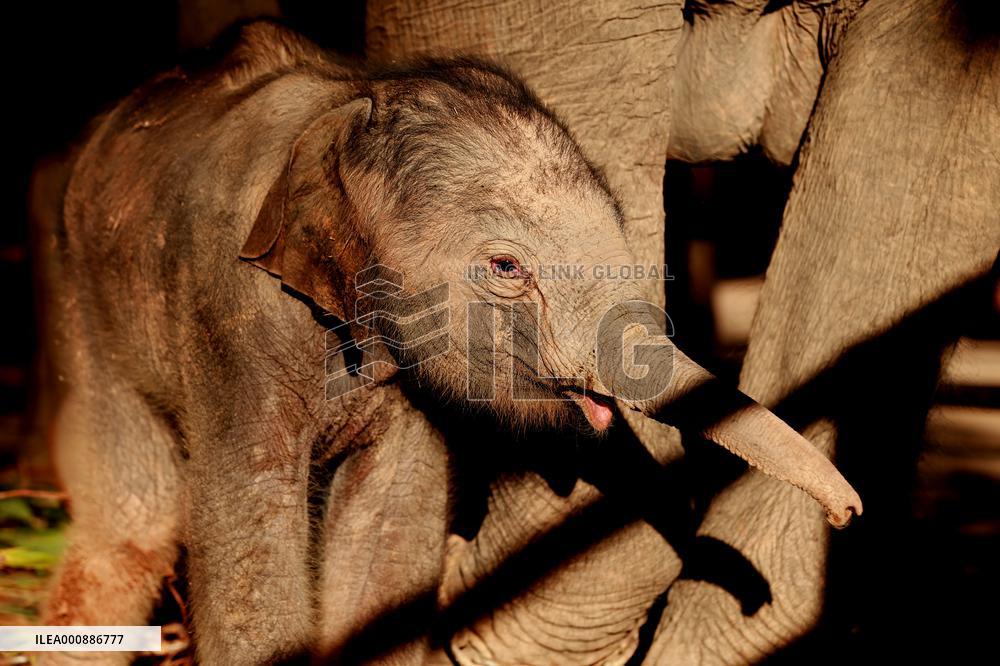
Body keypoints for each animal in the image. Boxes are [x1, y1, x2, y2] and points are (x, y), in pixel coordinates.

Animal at [42, 21, 860, 665]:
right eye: (505, 267)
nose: (849, 513)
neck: (342, 112)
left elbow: (386, 537)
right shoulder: (231, 318)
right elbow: (252, 539)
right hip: (78, 296)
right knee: (134, 529)